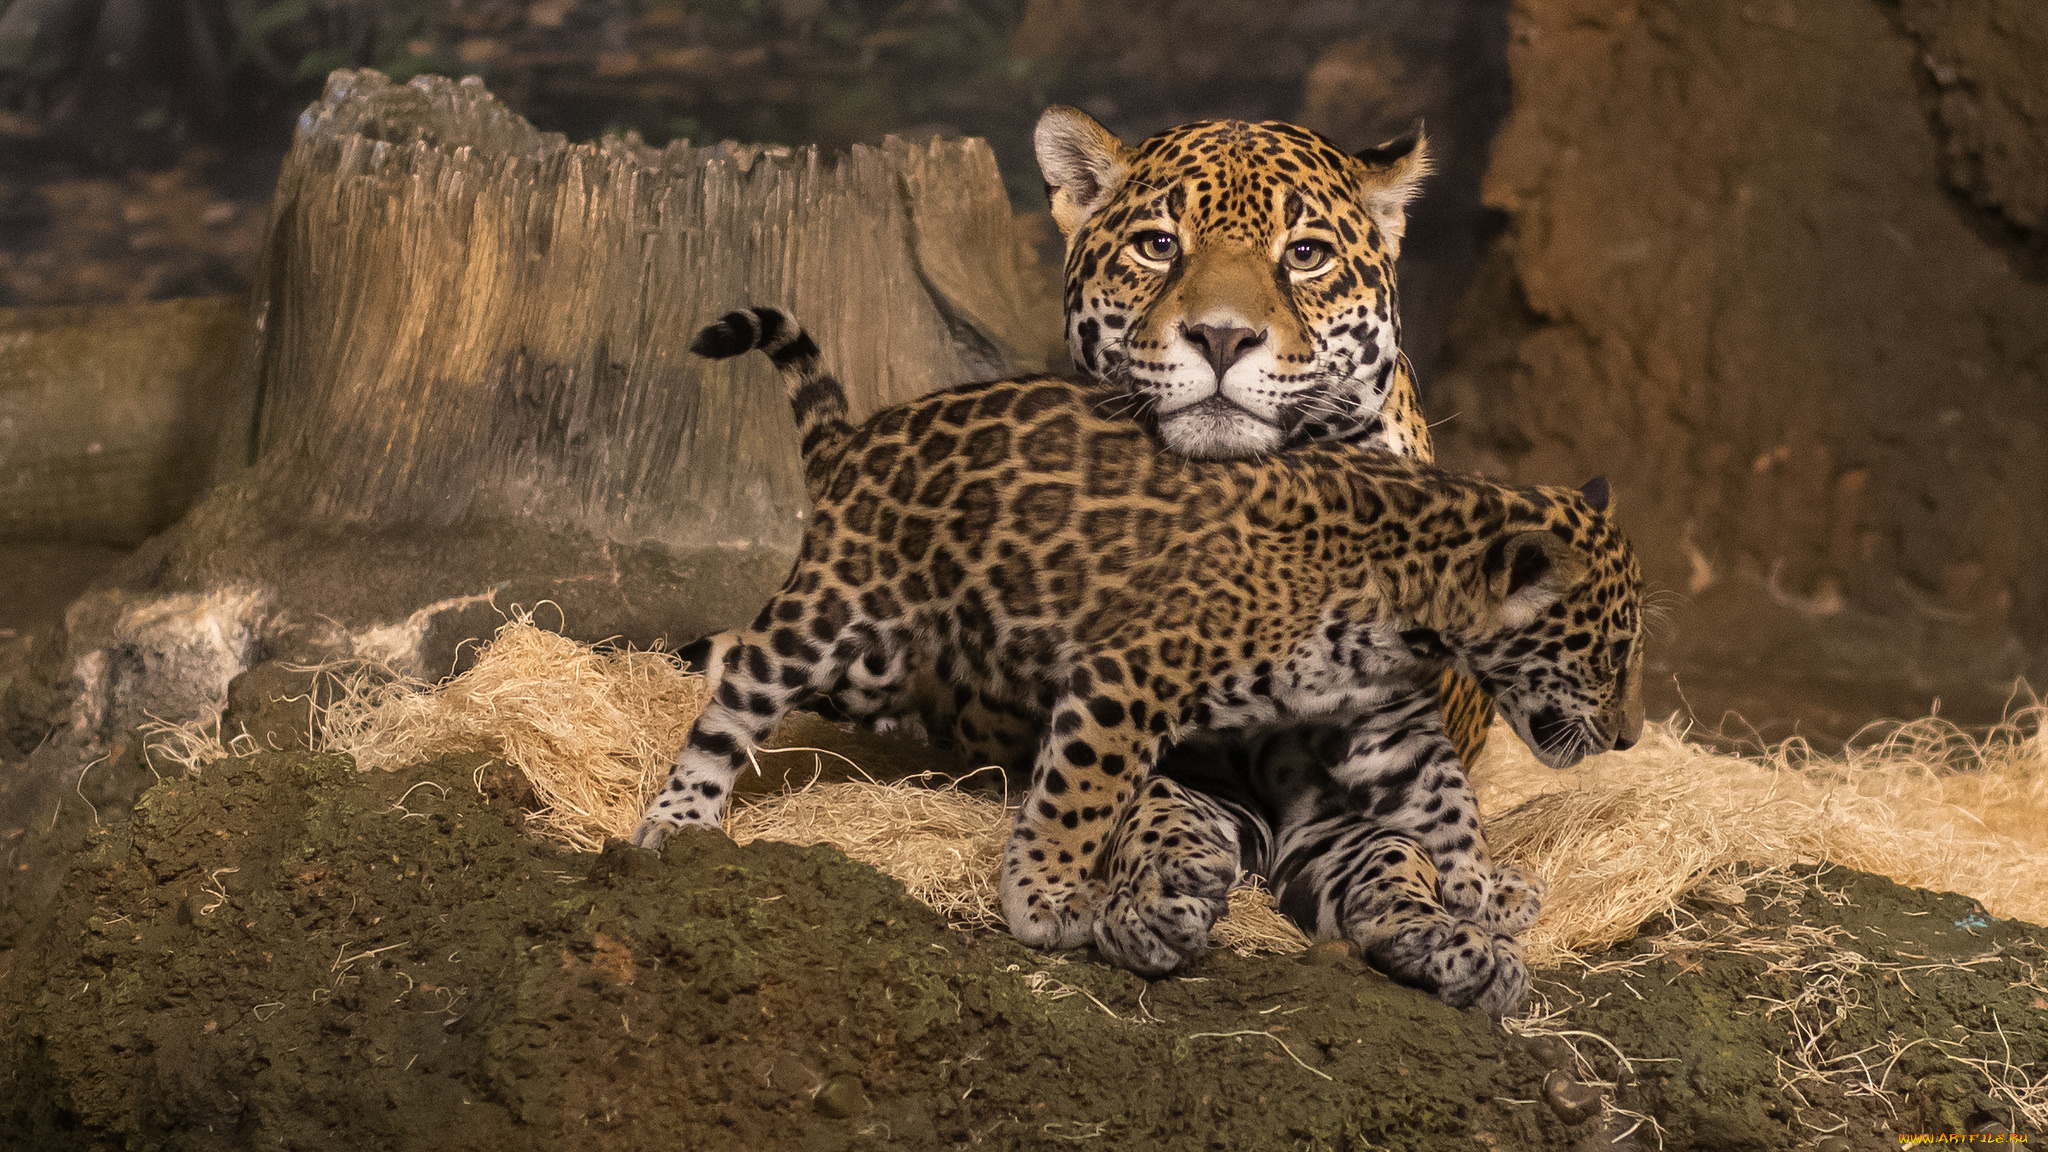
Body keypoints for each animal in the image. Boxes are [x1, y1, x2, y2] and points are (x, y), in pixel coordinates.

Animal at [633, 325, 1646, 1015]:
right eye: (1613, 652)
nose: (1632, 737)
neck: (1418, 591)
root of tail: (862, 437)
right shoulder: (1130, 677)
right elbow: (1079, 798)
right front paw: (1044, 902)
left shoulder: (1381, 722)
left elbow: (1441, 801)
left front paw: (1481, 886)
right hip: (840, 609)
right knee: (739, 689)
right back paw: (676, 817)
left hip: (883, 658)